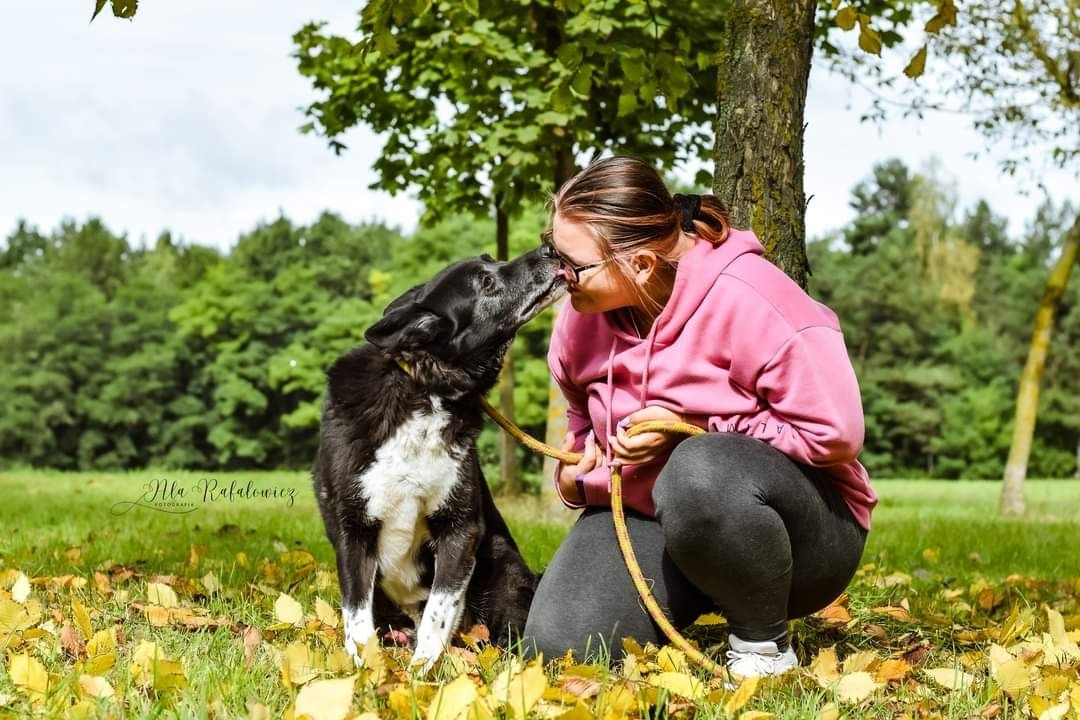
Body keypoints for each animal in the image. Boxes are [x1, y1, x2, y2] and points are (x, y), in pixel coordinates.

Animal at [313, 245, 565, 673]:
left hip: (504, 566)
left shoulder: (460, 528)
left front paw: (420, 674)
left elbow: (438, 611)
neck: (424, 388)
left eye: (491, 259)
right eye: (486, 282)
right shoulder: (353, 531)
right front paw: (368, 673)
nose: (549, 247)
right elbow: (356, 616)